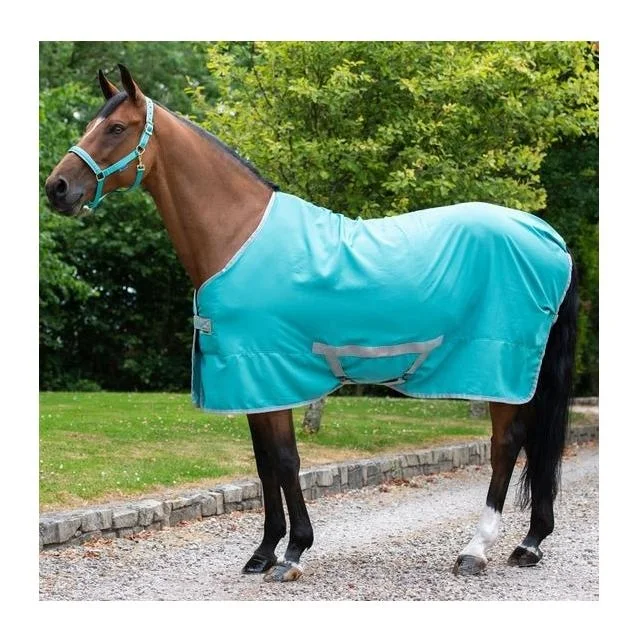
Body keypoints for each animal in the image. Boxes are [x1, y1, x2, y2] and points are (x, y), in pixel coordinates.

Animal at [44, 65, 578, 582]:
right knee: (534, 445)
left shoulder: (268, 371)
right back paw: (529, 543)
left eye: (116, 128)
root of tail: (547, 235)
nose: (57, 188)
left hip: (500, 367)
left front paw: (293, 552)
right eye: (89, 123)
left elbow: (286, 460)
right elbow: (264, 465)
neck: (239, 233)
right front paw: (262, 553)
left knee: (506, 444)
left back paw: (476, 550)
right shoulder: (252, 383)